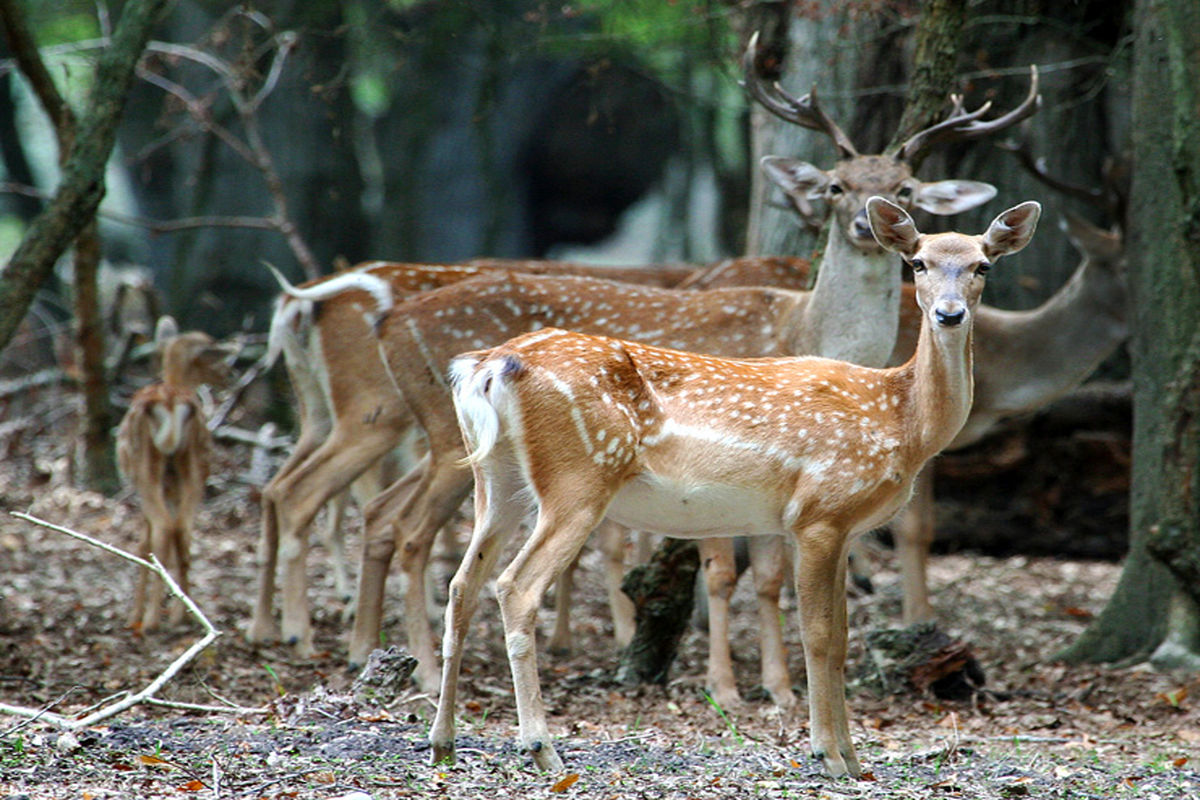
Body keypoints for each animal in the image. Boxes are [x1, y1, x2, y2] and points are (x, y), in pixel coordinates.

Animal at [118, 314, 230, 633]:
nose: (229, 374)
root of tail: (170, 402)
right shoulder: (174, 486)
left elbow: (144, 542)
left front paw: (134, 615)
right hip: (192, 466)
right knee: (183, 528)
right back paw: (184, 615)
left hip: (147, 469)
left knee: (165, 527)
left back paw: (151, 620)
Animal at [429, 196, 1041, 777]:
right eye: (917, 263)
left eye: (983, 265)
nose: (949, 313)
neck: (901, 419)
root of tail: (487, 366)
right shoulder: (819, 514)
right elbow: (819, 636)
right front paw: (827, 754)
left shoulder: (844, 528)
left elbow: (843, 639)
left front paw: (855, 759)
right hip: (577, 478)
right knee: (515, 586)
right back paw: (541, 747)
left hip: (498, 480)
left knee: (462, 584)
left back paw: (443, 741)